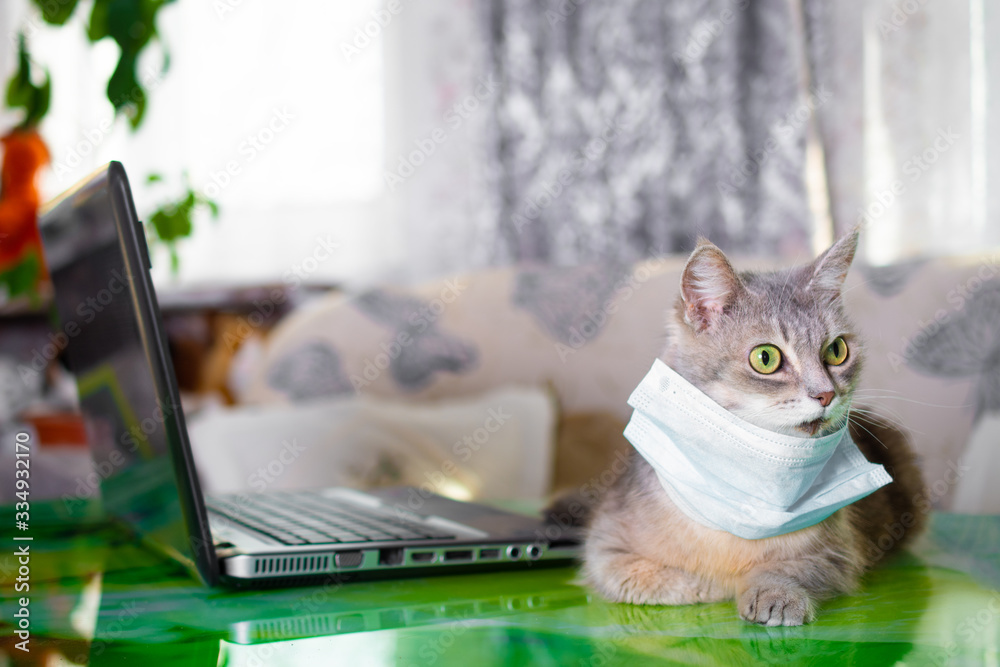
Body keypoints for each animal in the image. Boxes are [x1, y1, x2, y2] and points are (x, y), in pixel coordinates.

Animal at [580, 230, 928, 628]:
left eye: (837, 350)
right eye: (766, 358)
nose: (826, 394)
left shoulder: (838, 553)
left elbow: (788, 568)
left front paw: (774, 593)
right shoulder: (604, 547)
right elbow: (647, 578)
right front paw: (708, 585)